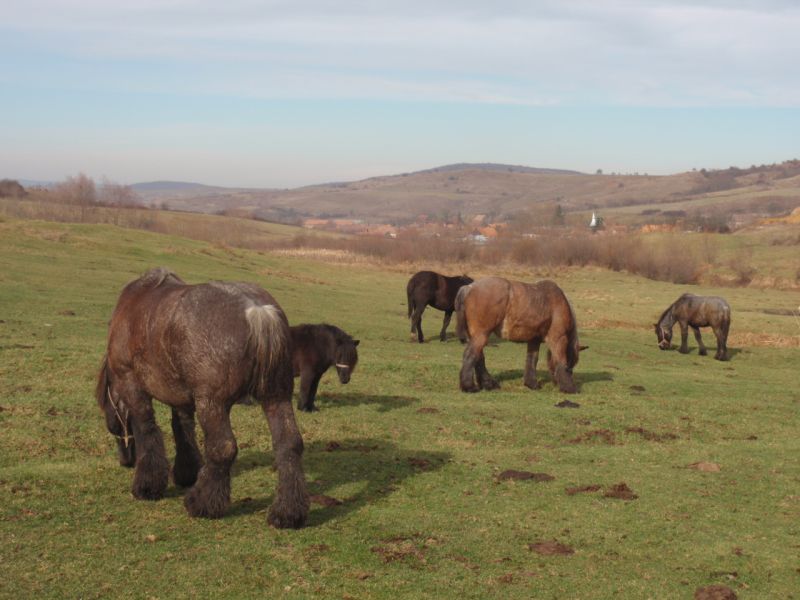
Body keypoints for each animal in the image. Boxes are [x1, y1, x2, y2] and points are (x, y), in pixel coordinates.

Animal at [93, 270, 306, 528]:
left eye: (106, 411)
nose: (126, 461)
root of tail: (257, 311)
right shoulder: (182, 398)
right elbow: (183, 430)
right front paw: (186, 473)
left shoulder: (132, 385)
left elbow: (147, 430)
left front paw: (147, 485)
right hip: (276, 398)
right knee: (289, 444)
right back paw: (287, 513)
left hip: (213, 404)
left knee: (223, 448)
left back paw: (202, 503)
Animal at [456, 278, 588, 396]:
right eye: (571, 362)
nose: (556, 382)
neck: (557, 302)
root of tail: (468, 288)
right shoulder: (558, 339)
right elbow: (560, 360)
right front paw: (570, 388)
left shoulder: (534, 340)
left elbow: (532, 360)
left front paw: (532, 384)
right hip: (481, 335)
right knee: (470, 356)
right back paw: (470, 387)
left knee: (479, 358)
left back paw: (488, 384)